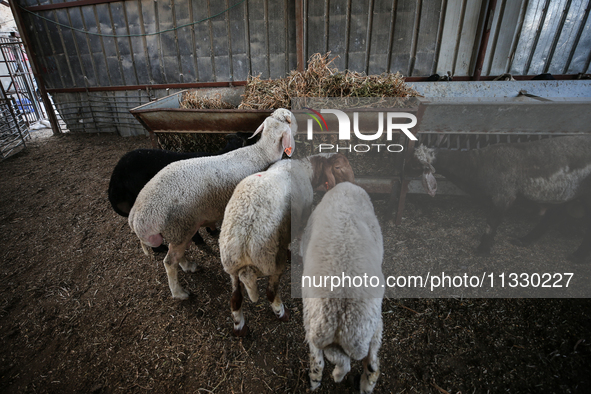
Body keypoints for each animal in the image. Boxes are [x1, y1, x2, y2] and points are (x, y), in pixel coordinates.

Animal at [129, 107, 296, 298]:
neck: (261, 152)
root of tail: (136, 216)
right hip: (180, 227)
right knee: (170, 262)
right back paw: (179, 293)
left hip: (177, 231)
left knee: (176, 255)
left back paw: (188, 266)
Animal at [220, 153, 354, 336]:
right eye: (338, 167)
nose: (352, 184)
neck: (308, 170)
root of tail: (243, 246)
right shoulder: (303, 215)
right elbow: (299, 238)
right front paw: (300, 257)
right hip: (271, 261)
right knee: (270, 293)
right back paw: (282, 313)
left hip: (231, 267)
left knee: (235, 299)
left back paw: (240, 327)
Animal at [300, 183, 384, 392]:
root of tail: (341, 310)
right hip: (367, 331)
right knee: (371, 364)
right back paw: (363, 385)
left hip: (314, 326)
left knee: (320, 361)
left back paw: (322, 379)